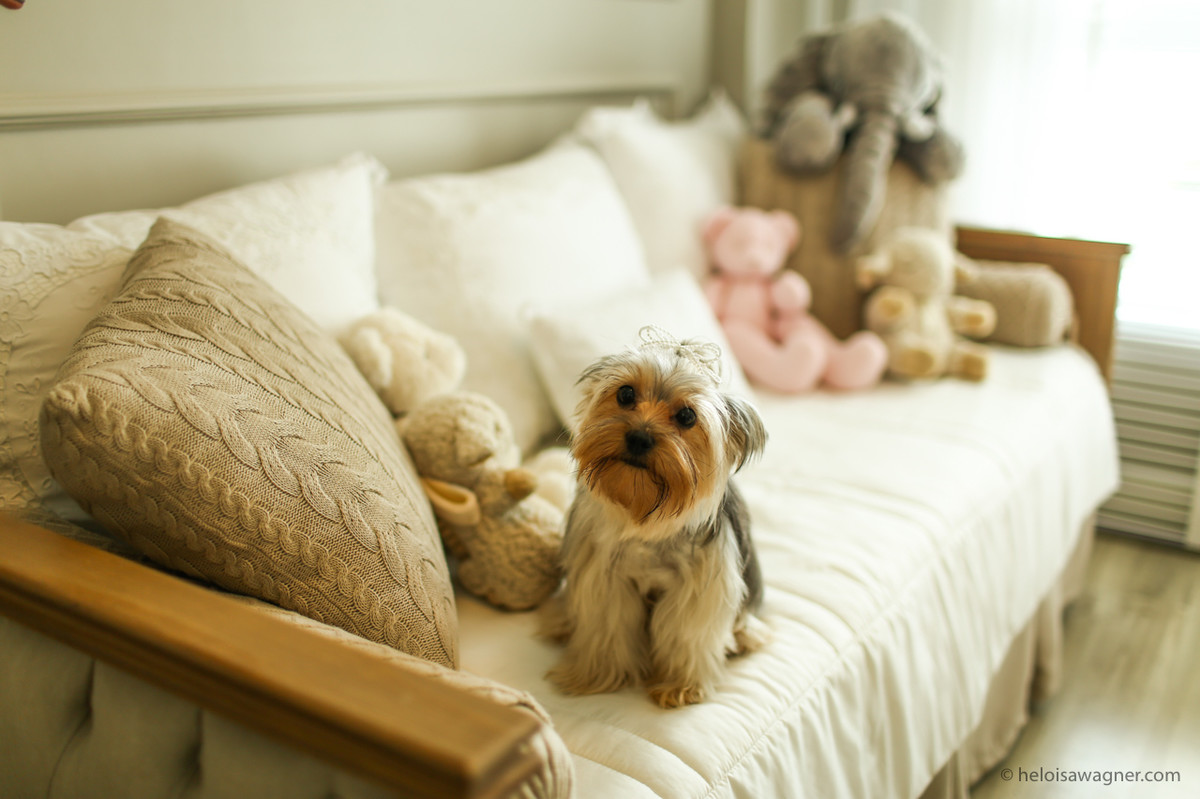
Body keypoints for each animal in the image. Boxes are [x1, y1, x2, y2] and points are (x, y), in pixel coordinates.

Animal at [543, 327, 769, 708]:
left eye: (687, 417)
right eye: (625, 393)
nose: (639, 436)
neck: (645, 517)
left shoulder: (697, 585)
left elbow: (685, 633)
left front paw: (680, 686)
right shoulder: (607, 576)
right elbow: (607, 625)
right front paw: (597, 676)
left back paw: (745, 637)